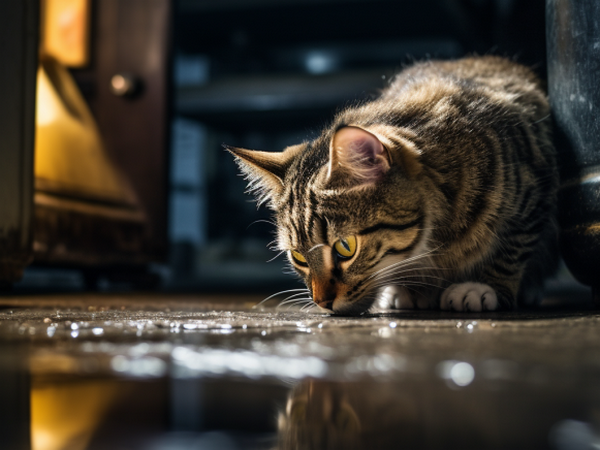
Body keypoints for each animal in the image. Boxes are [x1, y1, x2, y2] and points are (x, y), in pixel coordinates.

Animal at [229, 56, 556, 314]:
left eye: (345, 248)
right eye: (298, 256)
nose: (322, 302)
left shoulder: (533, 195)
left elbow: (511, 250)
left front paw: (482, 286)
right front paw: (410, 289)